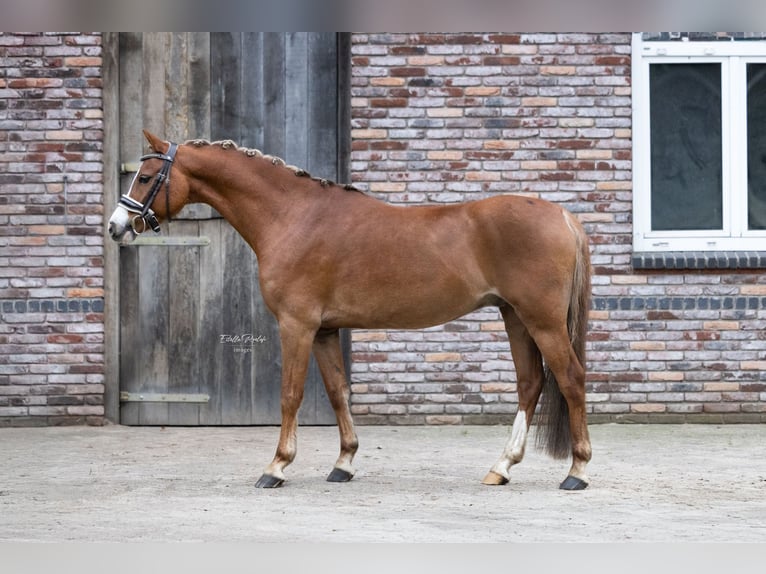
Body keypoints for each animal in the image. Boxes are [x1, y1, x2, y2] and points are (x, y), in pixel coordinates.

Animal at [109, 133, 592, 492]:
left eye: (146, 176)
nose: (116, 227)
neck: (294, 217)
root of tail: (564, 216)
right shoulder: (324, 330)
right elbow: (338, 391)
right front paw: (343, 463)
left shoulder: (297, 325)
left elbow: (290, 394)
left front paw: (276, 466)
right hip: (515, 316)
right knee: (530, 383)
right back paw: (501, 467)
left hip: (541, 320)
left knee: (570, 378)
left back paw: (577, 472)